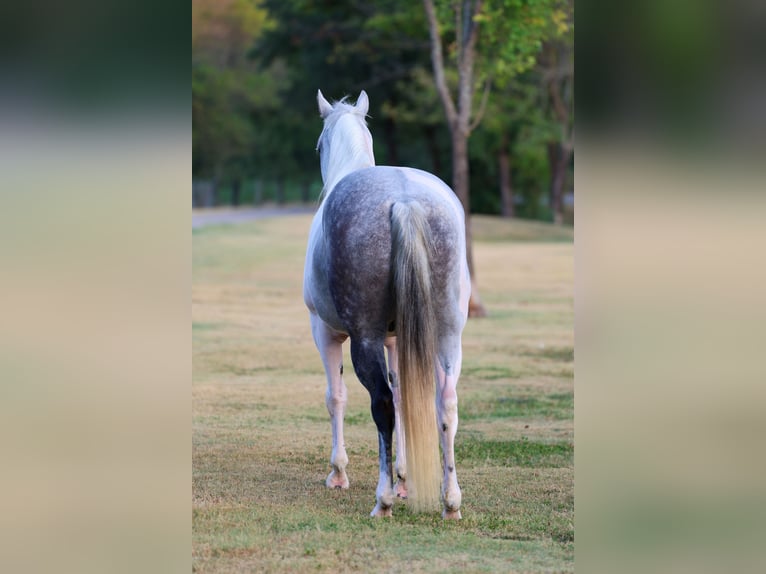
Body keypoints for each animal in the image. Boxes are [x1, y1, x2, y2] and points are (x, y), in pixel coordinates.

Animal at [303, 89, 470, 519]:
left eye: (318, 143)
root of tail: (405, 200)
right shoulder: (397, 339)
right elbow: (406, 398)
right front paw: (405, 478)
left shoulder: (326, 332)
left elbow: (336, 397)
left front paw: (339, 473)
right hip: (447, 336)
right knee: (445, 405)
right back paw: (450, 502)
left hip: (364, 337)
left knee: (381, 403)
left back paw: (383, 500)